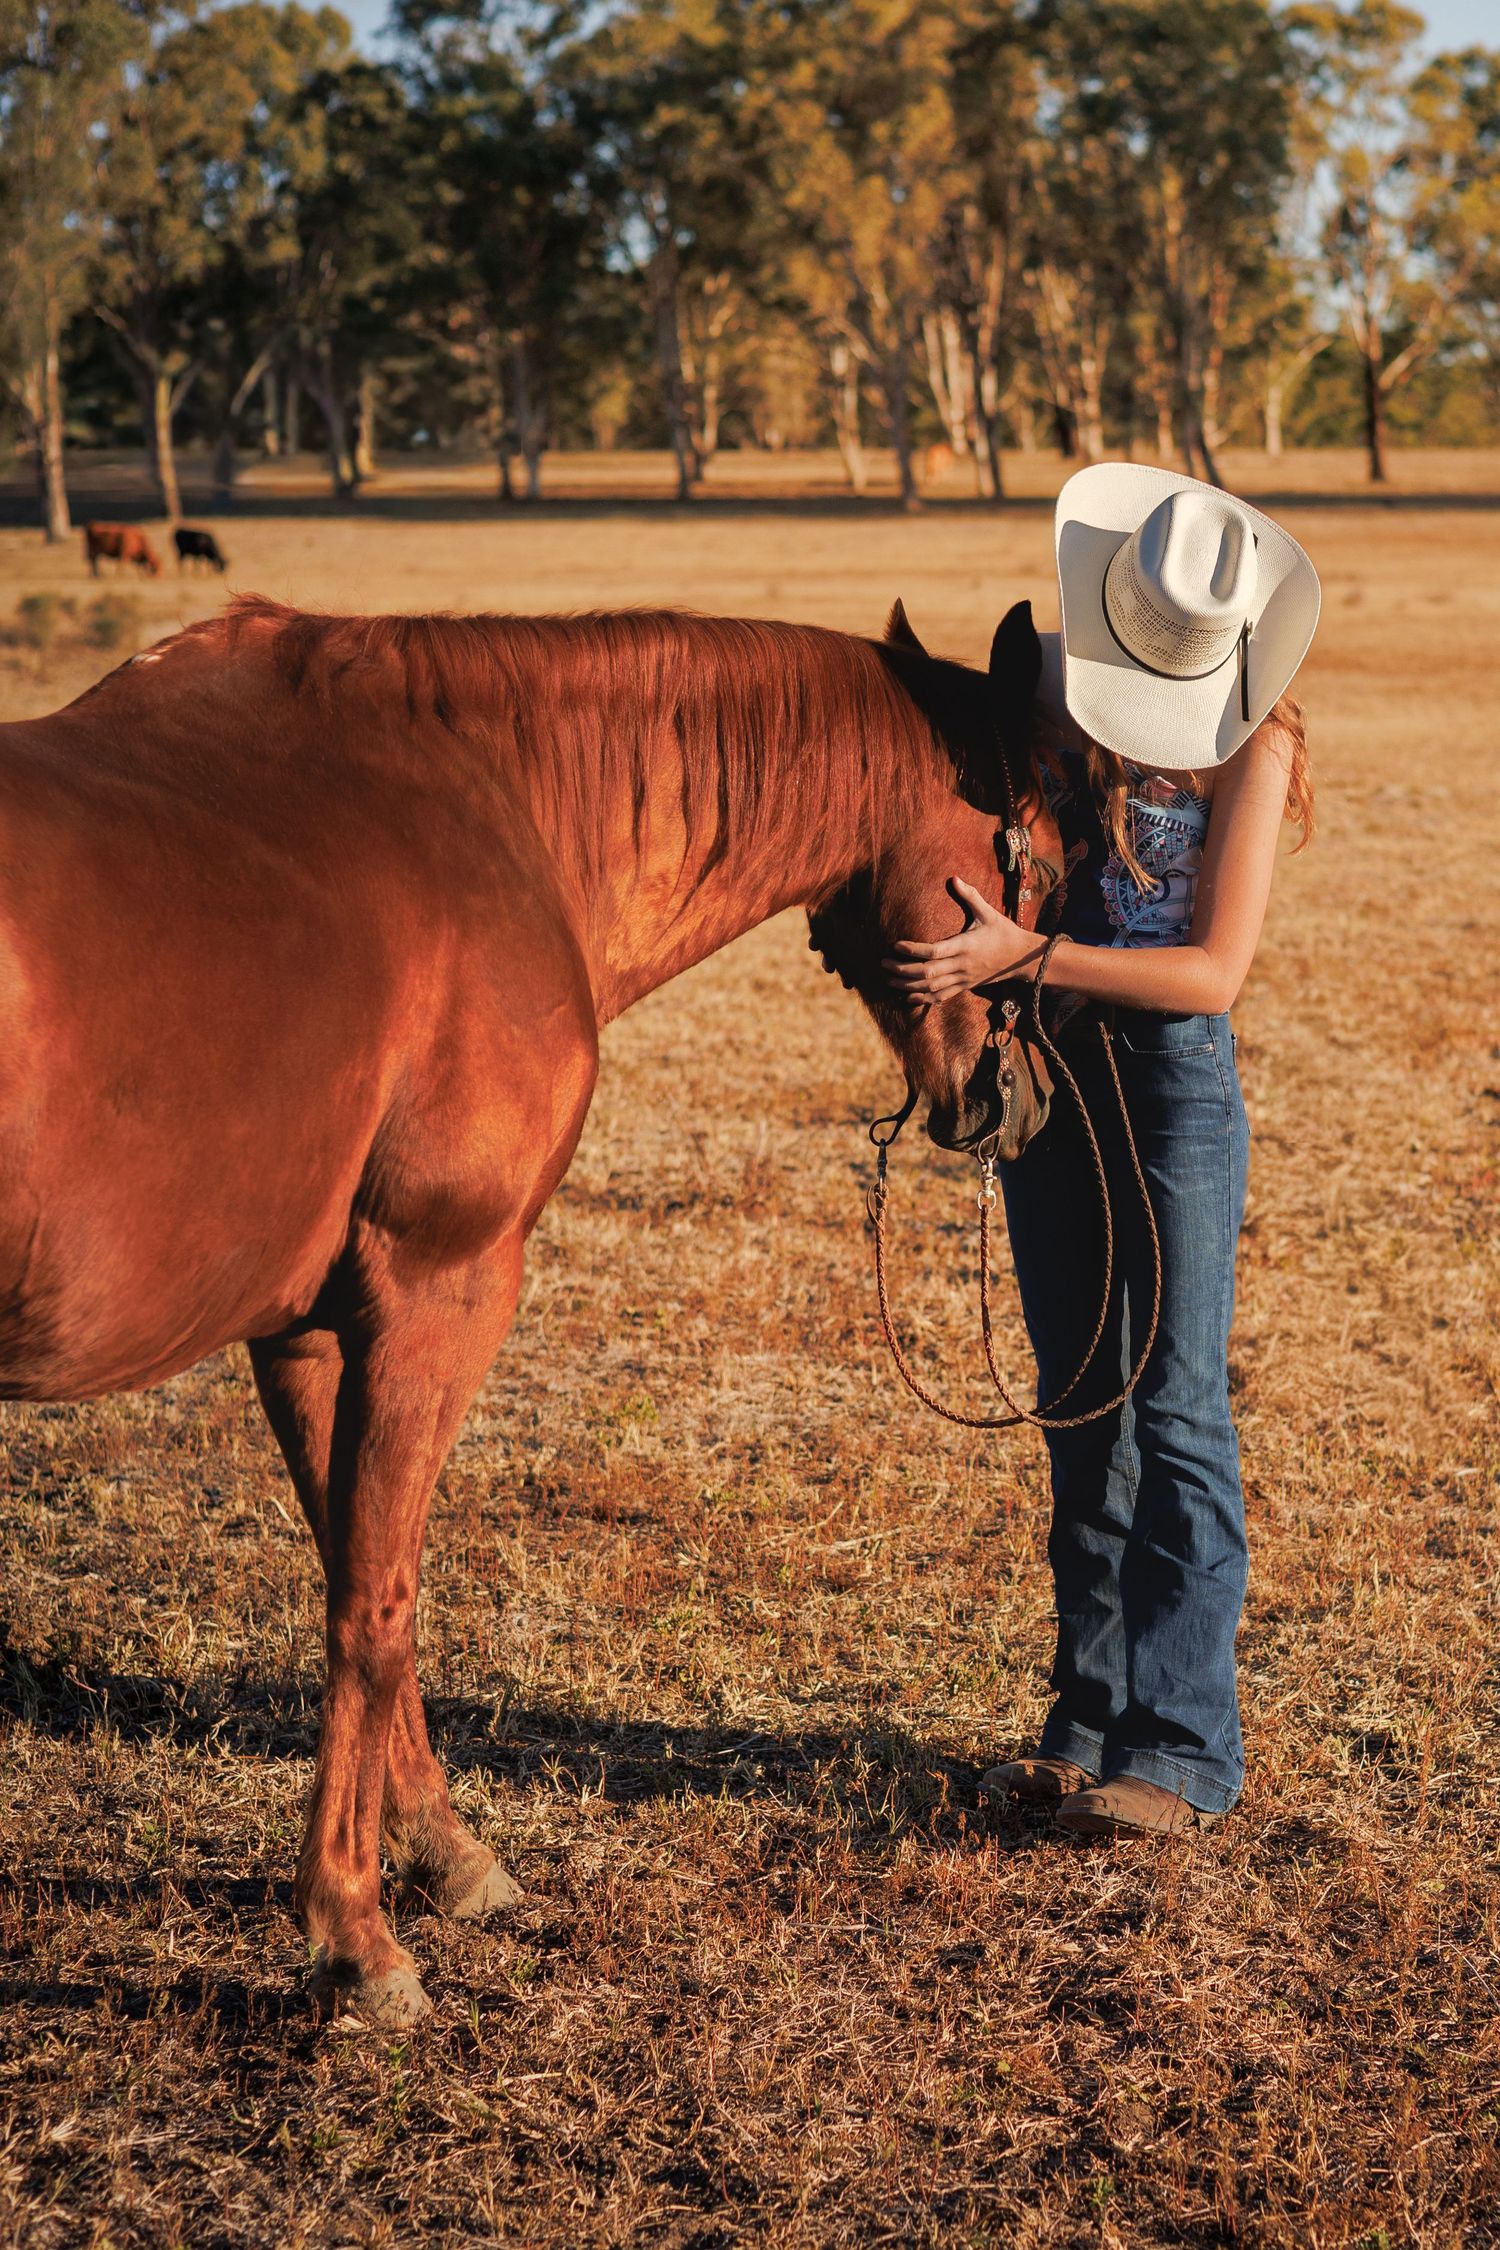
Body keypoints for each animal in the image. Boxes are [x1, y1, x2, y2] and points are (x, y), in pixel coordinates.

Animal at [0, 591, 1056, 2026]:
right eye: (1041, 870)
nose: (1024, 1102)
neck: (488, 803)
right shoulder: (441, 1288)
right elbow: (375, 1602)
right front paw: (356, 1933)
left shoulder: (305, 1327)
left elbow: (358, 1573)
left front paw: (443, 1855)